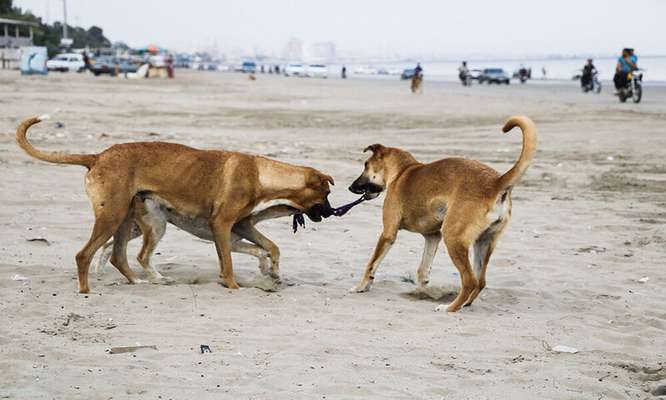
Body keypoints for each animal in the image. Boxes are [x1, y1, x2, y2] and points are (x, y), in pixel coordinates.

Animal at [16, 115, 332, 294]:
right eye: (327, 193)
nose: (331, 212)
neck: (260, 173)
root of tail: (97, 156)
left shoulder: (240, 226)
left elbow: (268, 248)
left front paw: (272, 272)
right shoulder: (222, 226)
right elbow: (230, 262)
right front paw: (233, 285)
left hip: (128, 220)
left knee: (118, 255)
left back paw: (139, 281)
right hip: (118, 217)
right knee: (89, 254)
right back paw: (86, 289)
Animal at [348, 115, 536, 312]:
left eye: (365, 165)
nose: (350, 187)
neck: (403, 171)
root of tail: (495, 183)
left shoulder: (388, 234)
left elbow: (371, 264)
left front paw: (361, 286)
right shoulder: (432, 237)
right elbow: (422, 272)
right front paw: (422, 292)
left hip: (453, 237)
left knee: (469, 281)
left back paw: (449, 308)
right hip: (483, 242)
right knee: (480, 282)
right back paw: (464, 304)